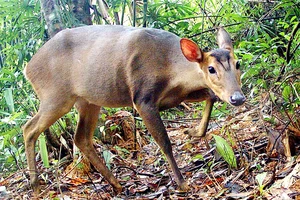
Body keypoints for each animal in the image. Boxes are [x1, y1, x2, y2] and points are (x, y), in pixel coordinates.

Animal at [22, 25, 245, 195]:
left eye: (237, 63)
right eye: (211, 69)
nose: (237, 97)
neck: (171, 68)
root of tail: (27, 68)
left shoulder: (177, 96)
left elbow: (211, 96)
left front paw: (193, 131)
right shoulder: (142, 97)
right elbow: (164, 142)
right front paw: (183, 183)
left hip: (87, 100)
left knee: (81, 137)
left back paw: (117, 184)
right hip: (56, 95)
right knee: (29, 129)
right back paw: (35, 186)